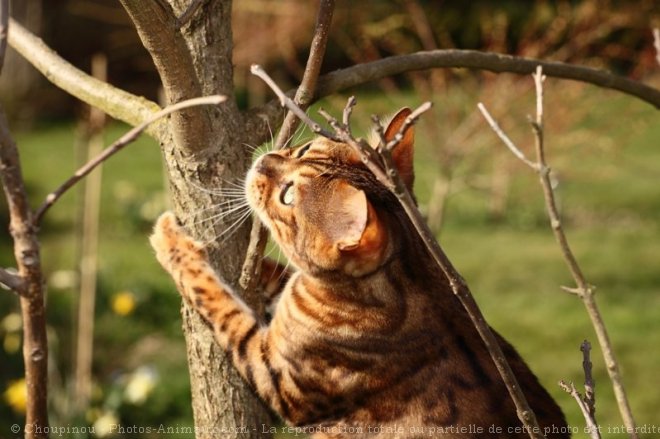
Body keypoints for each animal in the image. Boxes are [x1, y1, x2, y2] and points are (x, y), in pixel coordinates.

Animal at [150, 108, 568, 438]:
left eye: (288, 196)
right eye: (302, 150)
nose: (264, 159)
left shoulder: (277, 376)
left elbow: (217, 301)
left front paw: (172, 241)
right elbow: (276, 275)